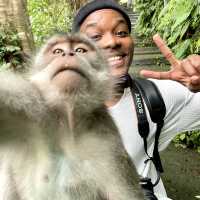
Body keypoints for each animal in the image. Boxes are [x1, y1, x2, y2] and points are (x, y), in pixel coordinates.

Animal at [0, 33, 144, 199]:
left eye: (80, 50)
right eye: (57, 51)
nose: (68, 53)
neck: (68, 126)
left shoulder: (109, 144)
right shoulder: (30, 108)